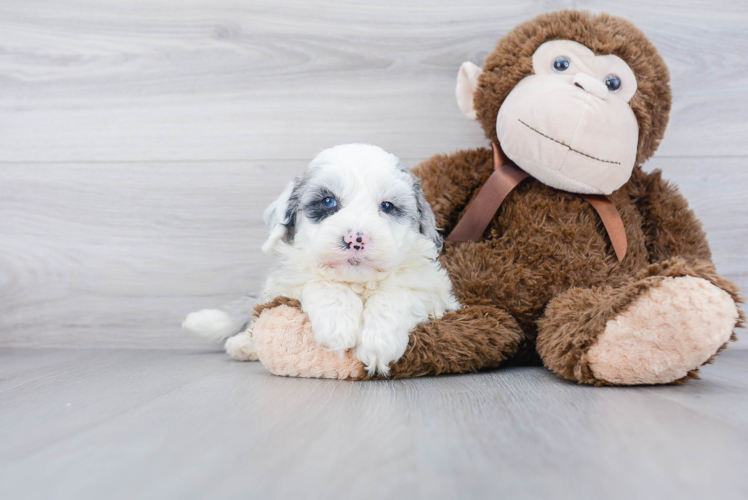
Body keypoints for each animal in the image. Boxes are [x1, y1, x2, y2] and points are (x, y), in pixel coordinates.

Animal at [184, 144, 458, 376]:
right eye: (328, 202)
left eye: (388, 206)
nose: (355, 239)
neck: (357, 283)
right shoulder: (288, 281)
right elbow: (323, 283)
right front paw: (337, 325)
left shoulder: (434, 290)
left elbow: (396, 293)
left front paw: (379, 342)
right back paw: (243, 344)